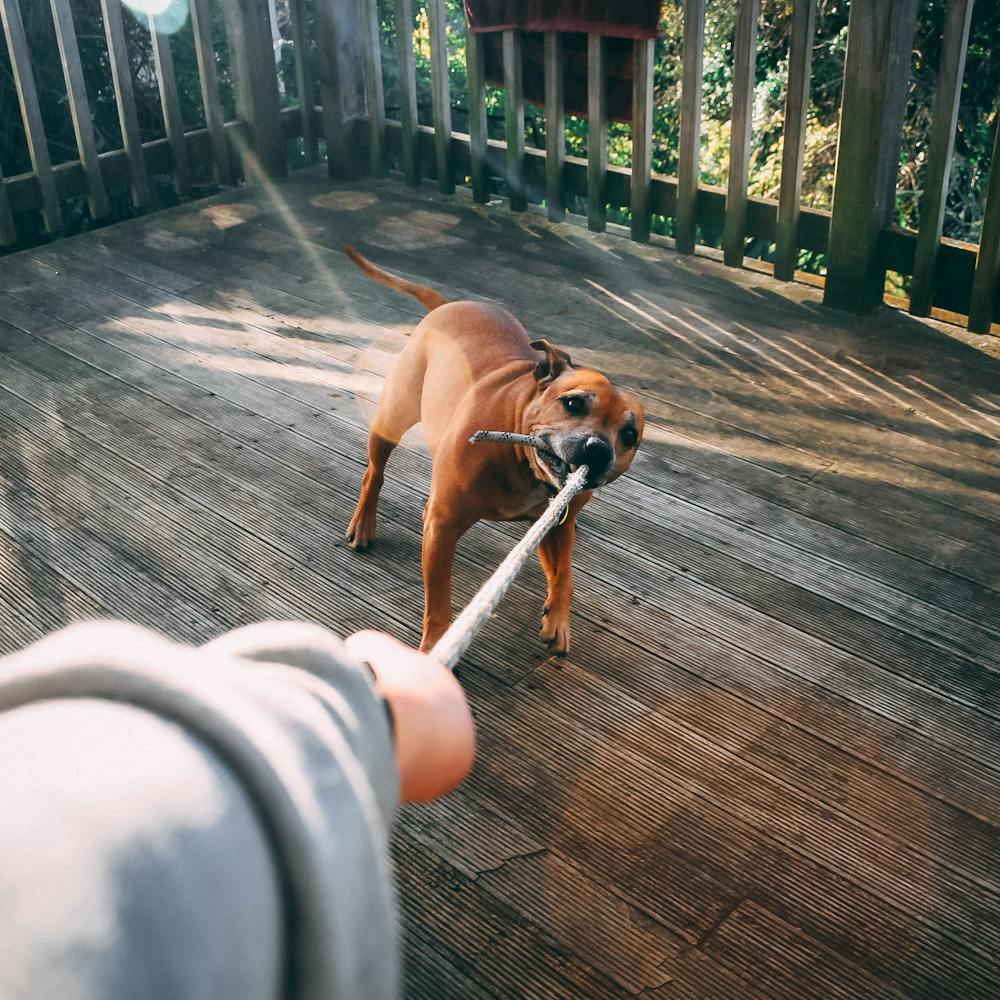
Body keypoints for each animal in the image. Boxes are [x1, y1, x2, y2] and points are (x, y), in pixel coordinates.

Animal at [342, 248, 640, 656]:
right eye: (574, 403)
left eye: (630, 434)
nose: (597, 450)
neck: (523, 466)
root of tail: (447, 305)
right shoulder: (444, 527)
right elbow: (439, 596)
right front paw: (436, 645)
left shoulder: (556, 526)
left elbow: (565, 573)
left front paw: (558, 619)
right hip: (393, 416)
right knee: (375, 471)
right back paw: (363, 523)